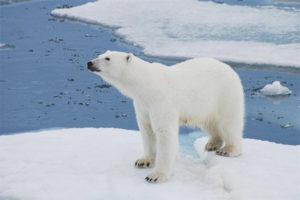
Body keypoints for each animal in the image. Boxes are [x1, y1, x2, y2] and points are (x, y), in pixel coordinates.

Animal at [86, 51, 244, 183]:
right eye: (100, 55)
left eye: (107, 58)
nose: (89, 63)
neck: (147, 85)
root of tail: (229, 68)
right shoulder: (143, 105)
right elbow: (147, 130)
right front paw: (144, 161)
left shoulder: (161, 101)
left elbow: (165, 133)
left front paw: (156, 175)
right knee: (209, 122)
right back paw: (212, 143)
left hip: (225, 93)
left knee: (229, 122)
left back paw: (229, 149)